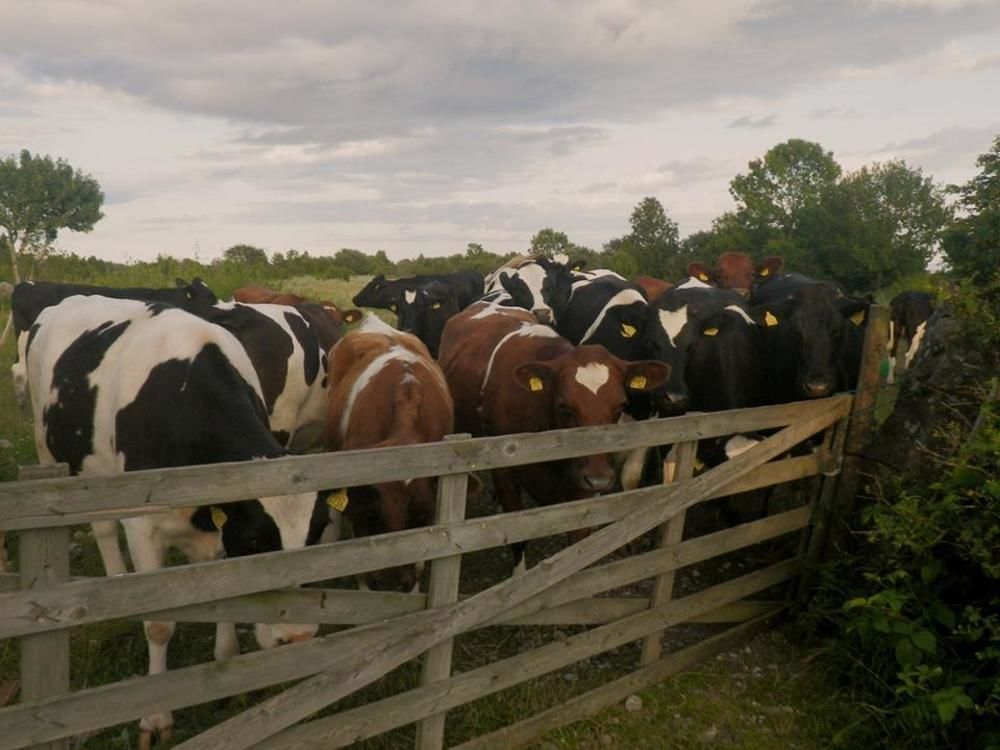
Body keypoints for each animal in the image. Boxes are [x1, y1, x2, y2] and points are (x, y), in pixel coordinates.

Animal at [25, 296, 326, 748]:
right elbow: (159, 625)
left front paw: (227, 667)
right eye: (256, 540)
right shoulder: (144, 527)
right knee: (102, 527)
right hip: (53, 454)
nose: (299, 636)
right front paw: (156, 717)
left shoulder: (218, 532)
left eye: (318, 537)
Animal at [440, 302, 668, 572]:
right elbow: (516, 535)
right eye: (564, 406)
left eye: (620, 406)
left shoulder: (581, 483)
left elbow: (577, 544)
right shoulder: (505, 473)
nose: (599, 479)